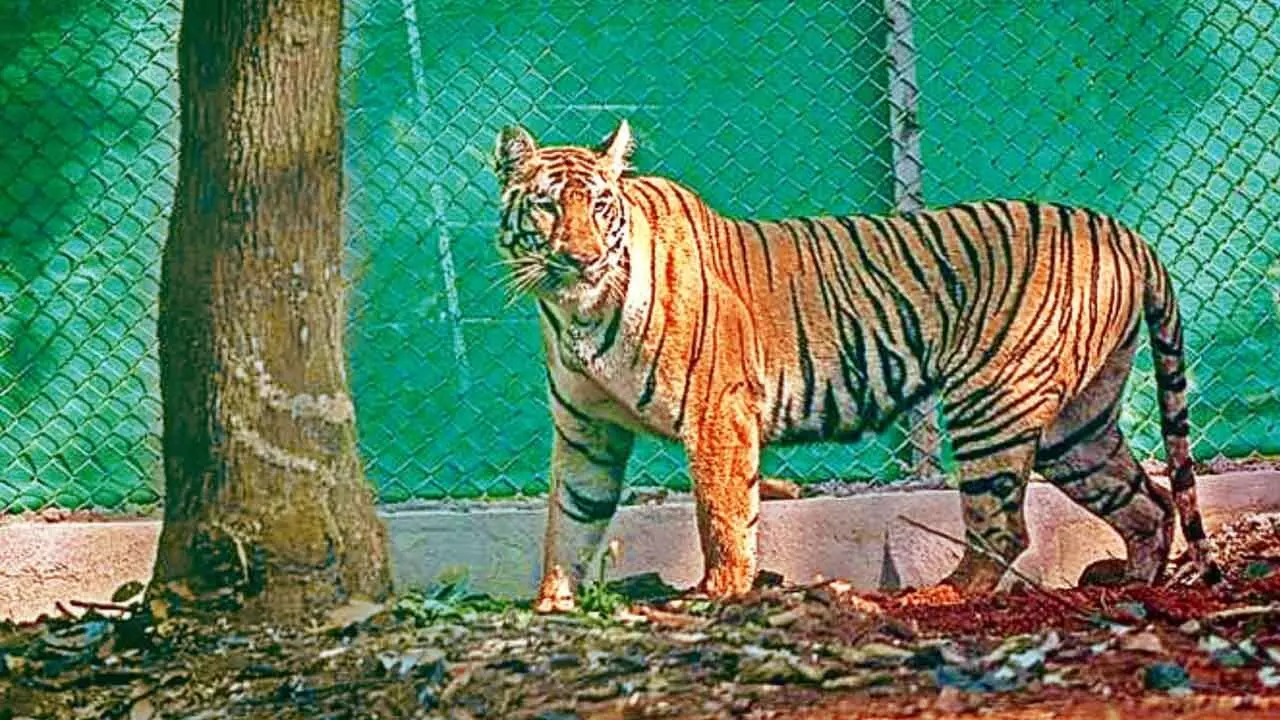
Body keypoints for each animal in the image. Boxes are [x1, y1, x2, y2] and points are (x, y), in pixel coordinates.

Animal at [491, 118, 1220, 612]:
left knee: (1004, 526)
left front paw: (718, 595)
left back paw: (939, 597)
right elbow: (570, 519)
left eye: (600, 207)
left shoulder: (717, 412)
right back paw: (1132, 585)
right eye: (548, 204)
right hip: (1078, 426)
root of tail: (1126, 231)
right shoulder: (586, 432)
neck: (577, 312)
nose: (582, 259)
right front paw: (551, 604)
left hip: (993, 403)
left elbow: (722, 516)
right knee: (1148, 502)